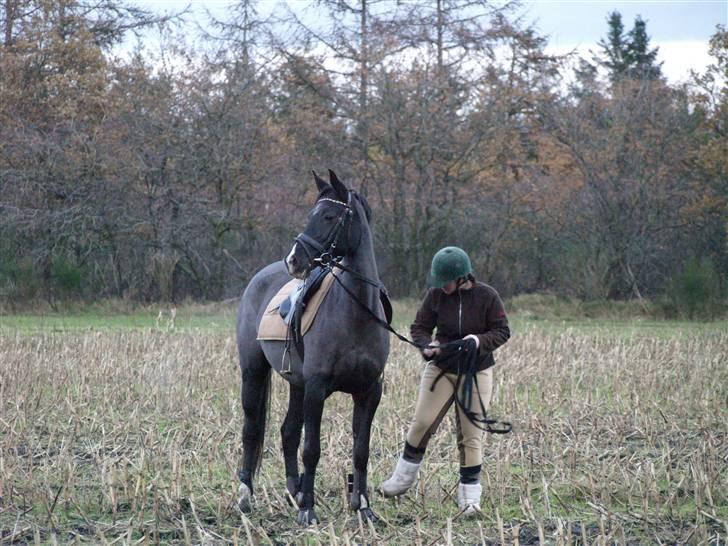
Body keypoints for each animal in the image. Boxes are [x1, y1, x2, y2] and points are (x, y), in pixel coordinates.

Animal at [236, 169, 390, 524]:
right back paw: (246, 496)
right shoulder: (317, 388)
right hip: (254, 373)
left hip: (297, 384)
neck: (356, 312)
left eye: (330, 216)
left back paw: (295, 491)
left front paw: (364, 507)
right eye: (312, 214)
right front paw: (309, 510)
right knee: (251, 430)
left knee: (288, 432)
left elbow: (361, 449)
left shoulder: (369, 391)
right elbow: (312, 449)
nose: (294, 260)